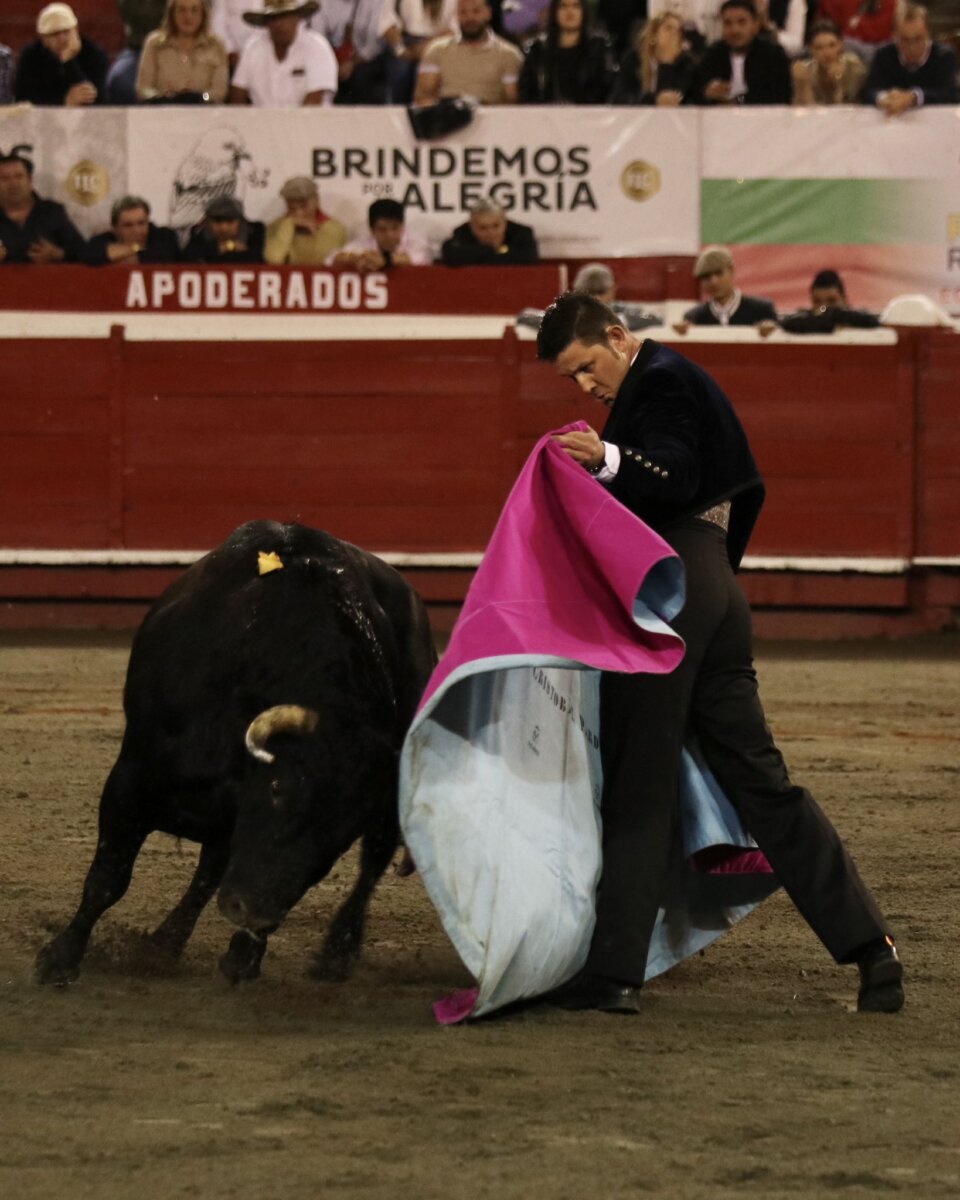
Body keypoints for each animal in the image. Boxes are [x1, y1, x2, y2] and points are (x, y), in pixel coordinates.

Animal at [36, 521, 436, 987]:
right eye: (278, 787)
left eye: (343, 831)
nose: (253, 912)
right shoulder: (132, 776)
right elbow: (109, 878)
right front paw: (60, 958)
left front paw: (246, 950)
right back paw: (168, 945)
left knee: (368, 867)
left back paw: (322, 953)